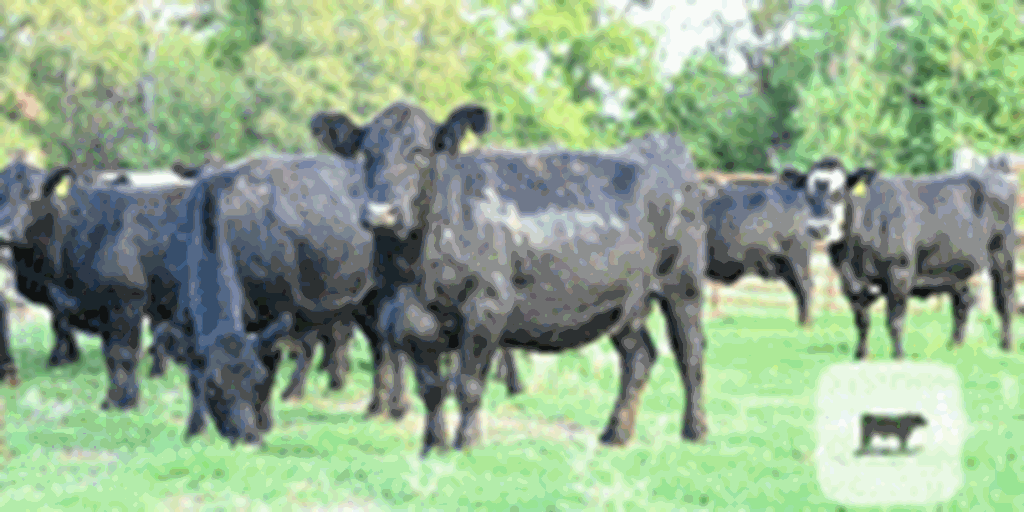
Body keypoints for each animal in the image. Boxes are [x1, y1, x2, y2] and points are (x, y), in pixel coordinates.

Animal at [311, 101, 710, 457]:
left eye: (420, 153)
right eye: (366, 154)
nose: (381, 213)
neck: (414, 266)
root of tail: (658, 148)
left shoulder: (486, 305)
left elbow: (468, 383)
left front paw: (467, 443)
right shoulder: (404, 314)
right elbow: (431, 387)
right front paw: (432, 445)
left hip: (683, 285)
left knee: (690, 353)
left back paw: (695, 430)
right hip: (625, 304)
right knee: (639, 356)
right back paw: (616, 433)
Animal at [781, 156, 1016, 359]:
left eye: (839, 192)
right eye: (808, 194)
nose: (818, 228)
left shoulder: (899, 273)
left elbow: (894, 321)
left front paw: (899, 355)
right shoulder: (849, 281)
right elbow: (862, 320)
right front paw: (861, 355)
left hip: (1003, 255)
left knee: (1004, 300)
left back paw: (1006, 346)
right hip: (956, 267)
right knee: (963, 302)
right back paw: (955, 346)